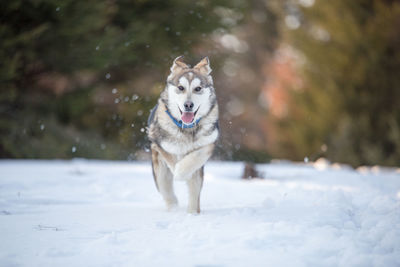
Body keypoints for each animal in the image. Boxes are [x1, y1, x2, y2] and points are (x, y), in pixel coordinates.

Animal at [148, 56, 219, 216]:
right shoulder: (159, 143)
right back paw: (173, 209)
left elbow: (196, 156)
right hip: (160, 172)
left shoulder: (210, 142)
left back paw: (192, 213)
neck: (187, 128)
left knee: (194, 192)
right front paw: (179, 172)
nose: (188, 105)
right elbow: (173, 160)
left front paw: (182, 172)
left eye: (198, 89)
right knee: (167, 191)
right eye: (181, 88)